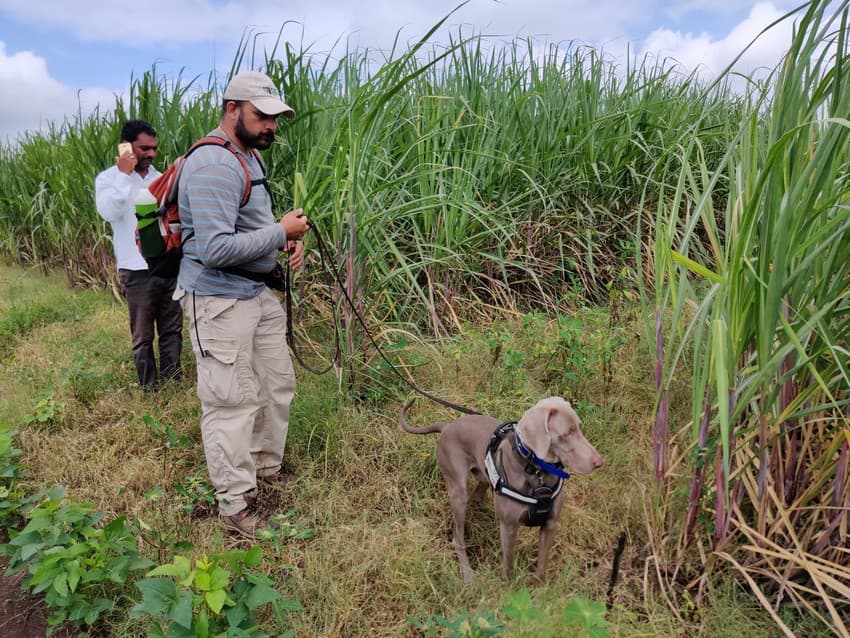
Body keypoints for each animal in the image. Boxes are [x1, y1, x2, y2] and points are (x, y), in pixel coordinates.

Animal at [400, 400, 604, 584]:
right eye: (567, 433)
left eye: (580, 428)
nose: (599, 462)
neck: (537, 473)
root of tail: (447, 426)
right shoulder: (508, 526)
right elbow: (508, 562)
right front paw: (508, 590)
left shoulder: (550, 524)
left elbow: (542, 563)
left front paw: (538, 588)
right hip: (458, 490)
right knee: (458, 536)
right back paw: (468, 575)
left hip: (483, 476)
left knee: (477, 495)